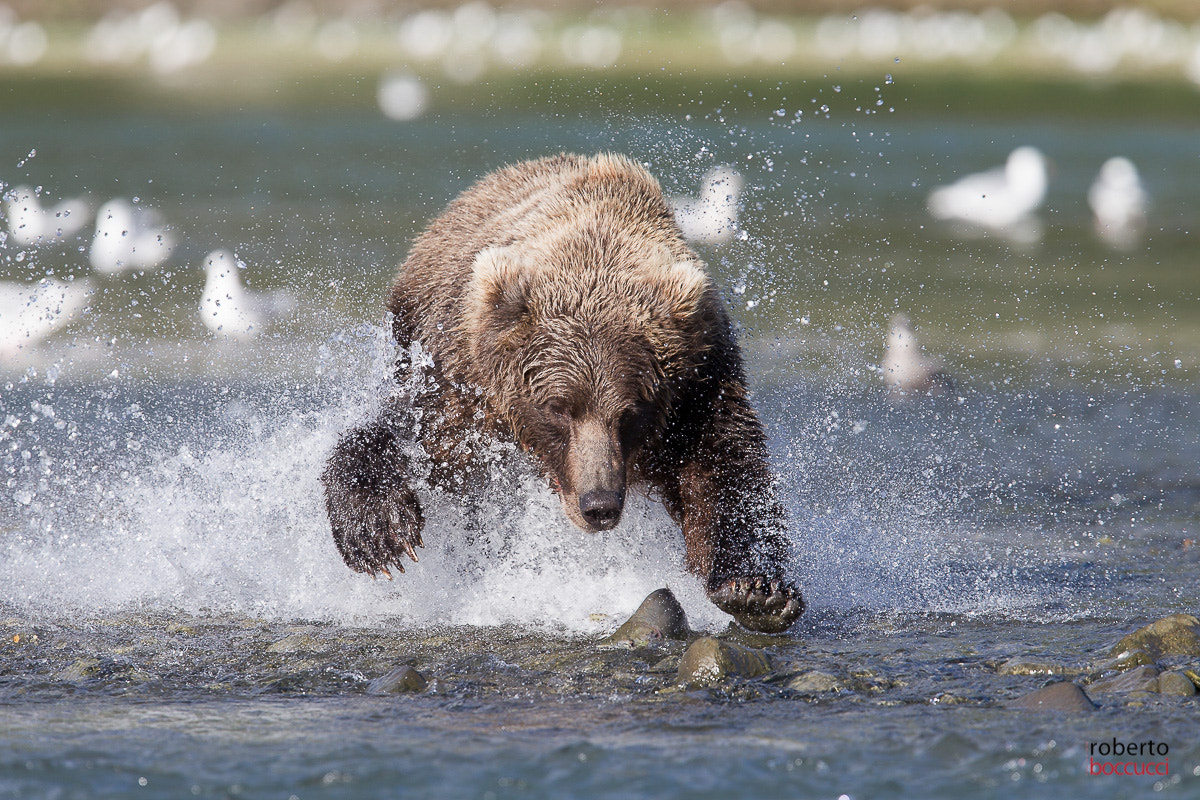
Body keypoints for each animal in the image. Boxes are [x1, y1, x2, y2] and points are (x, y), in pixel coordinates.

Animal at [322, 153, 803, 633]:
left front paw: (756, 589)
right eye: (558, 408)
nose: (599, 504)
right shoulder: (462, 388)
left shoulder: (698, 387)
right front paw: (378, 529)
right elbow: (412, 435)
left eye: (631, 412)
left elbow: (726, 473)